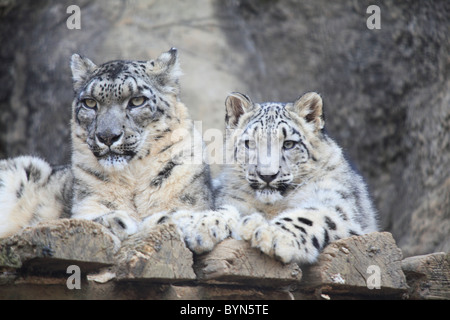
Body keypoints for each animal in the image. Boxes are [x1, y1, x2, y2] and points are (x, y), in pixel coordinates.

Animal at [0, 48, 219, 241]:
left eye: (137, 100)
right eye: (89, 102)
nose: (107, 136)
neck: (134, 176)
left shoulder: (189, 201)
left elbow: (179, 212)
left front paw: (163, 218)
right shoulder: (87, 203)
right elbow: (88, 218)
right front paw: (117, 219)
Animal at [213, 91, 378, 264]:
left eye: (289, 144)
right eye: (250, 143)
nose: (267, 175)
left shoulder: (336, 200)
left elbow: (309, 216)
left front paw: (271, 233)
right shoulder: (233, 199)